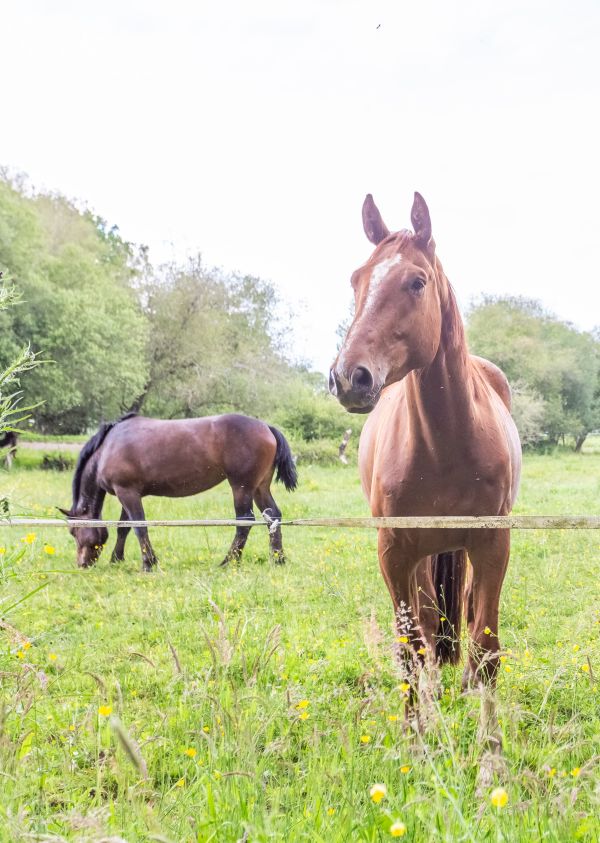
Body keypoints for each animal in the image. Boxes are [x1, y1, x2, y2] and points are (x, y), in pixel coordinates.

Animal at [58, 412, 298, 572]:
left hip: (242, 487)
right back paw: (278, 559)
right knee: (273, 517)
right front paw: (117, 559)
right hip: (260, 487)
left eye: (73, 532)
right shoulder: (130, 493)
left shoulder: (127, 492)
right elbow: (123, 528)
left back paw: (228, 562)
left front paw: (148, 564)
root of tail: (266, 427)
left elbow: (139, 527)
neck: (108, 448)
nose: (82, 564)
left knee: (244, 522)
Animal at [330, 196, 524, 732]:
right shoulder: (394, 553)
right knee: (424, 621)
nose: (348, 378)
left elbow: (486, 646)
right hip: (417, 558)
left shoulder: (492, 544)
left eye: (417, 282)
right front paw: (417, 733)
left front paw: (488, 739)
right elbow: (410, 649)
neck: (444, 443)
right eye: (356, 279)